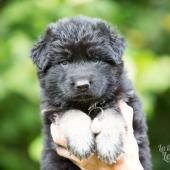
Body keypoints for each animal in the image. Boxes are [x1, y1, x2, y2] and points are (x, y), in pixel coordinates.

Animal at [30, 16, 151, 170]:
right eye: (64, 62)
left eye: (95, 59)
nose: (82, 85)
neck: (86, 104)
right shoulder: (53, 110)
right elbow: (72, 113)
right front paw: (81, 143)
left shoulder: (125, 101)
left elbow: (112, 114)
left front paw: (108, 145)